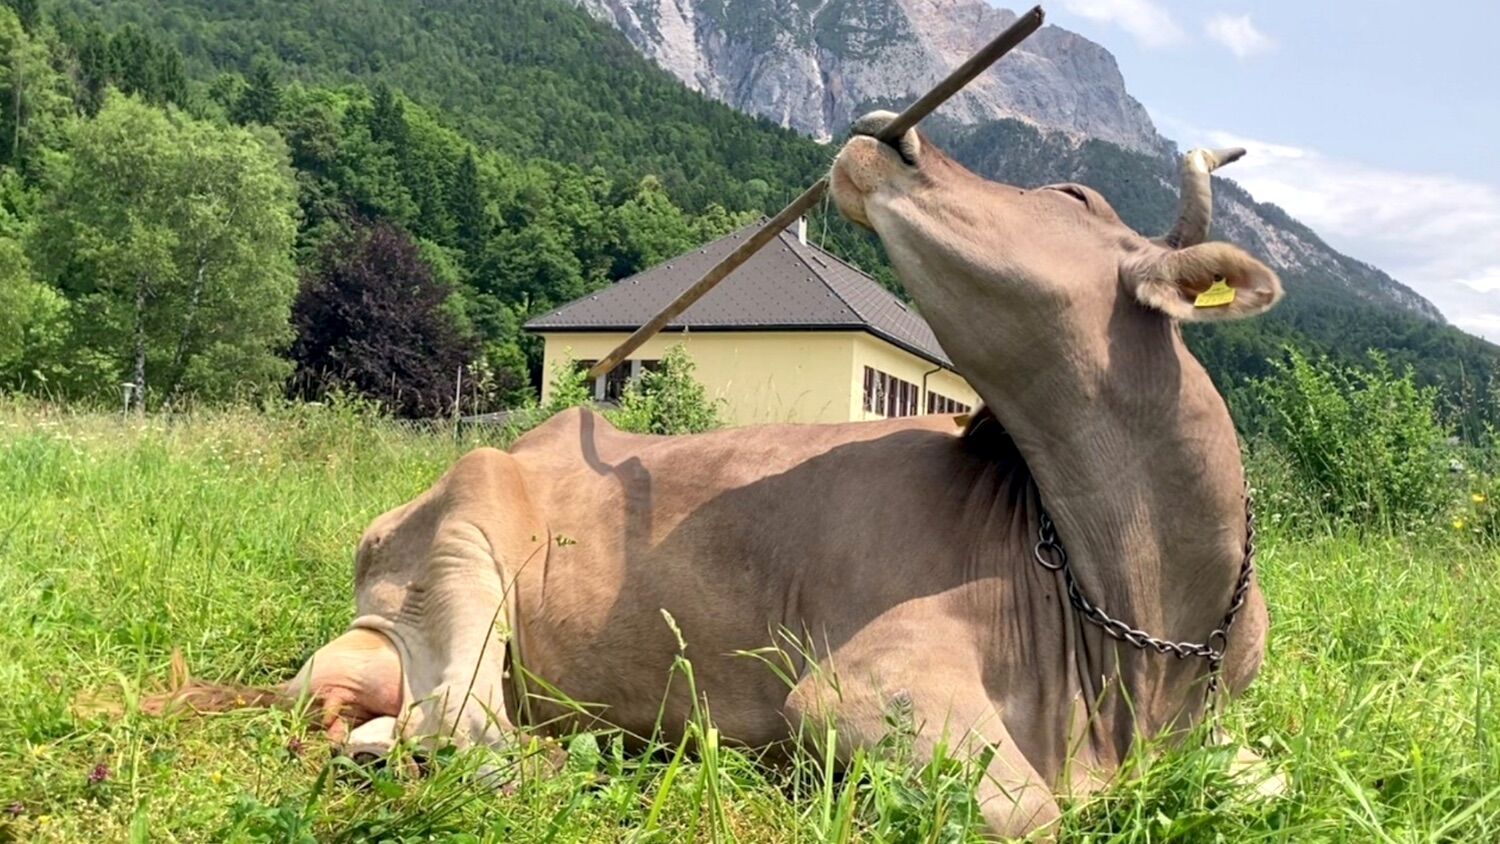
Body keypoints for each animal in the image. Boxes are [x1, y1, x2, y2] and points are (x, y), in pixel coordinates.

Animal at [161, 111, 1282, 839]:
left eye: (1070, 193)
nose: (887, 129)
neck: (1139, 629)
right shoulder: (859, 685)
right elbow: (1032, 812)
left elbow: (1266, 785)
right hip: (462, 547)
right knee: (467, 734)